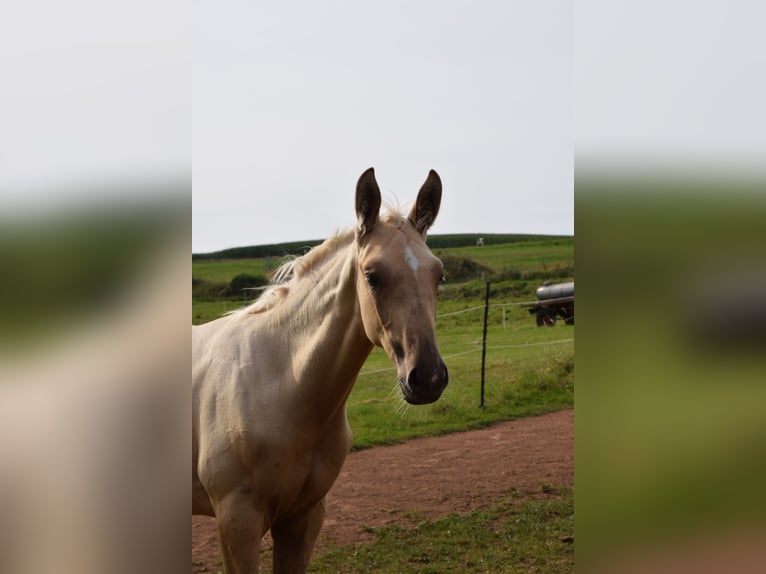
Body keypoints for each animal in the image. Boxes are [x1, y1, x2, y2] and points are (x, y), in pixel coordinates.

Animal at [192, 169, 452, 572]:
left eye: (438, 275)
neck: (280, 387)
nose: (427, 378)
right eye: (372, 275)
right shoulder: (236, 524)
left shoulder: (303, 519)